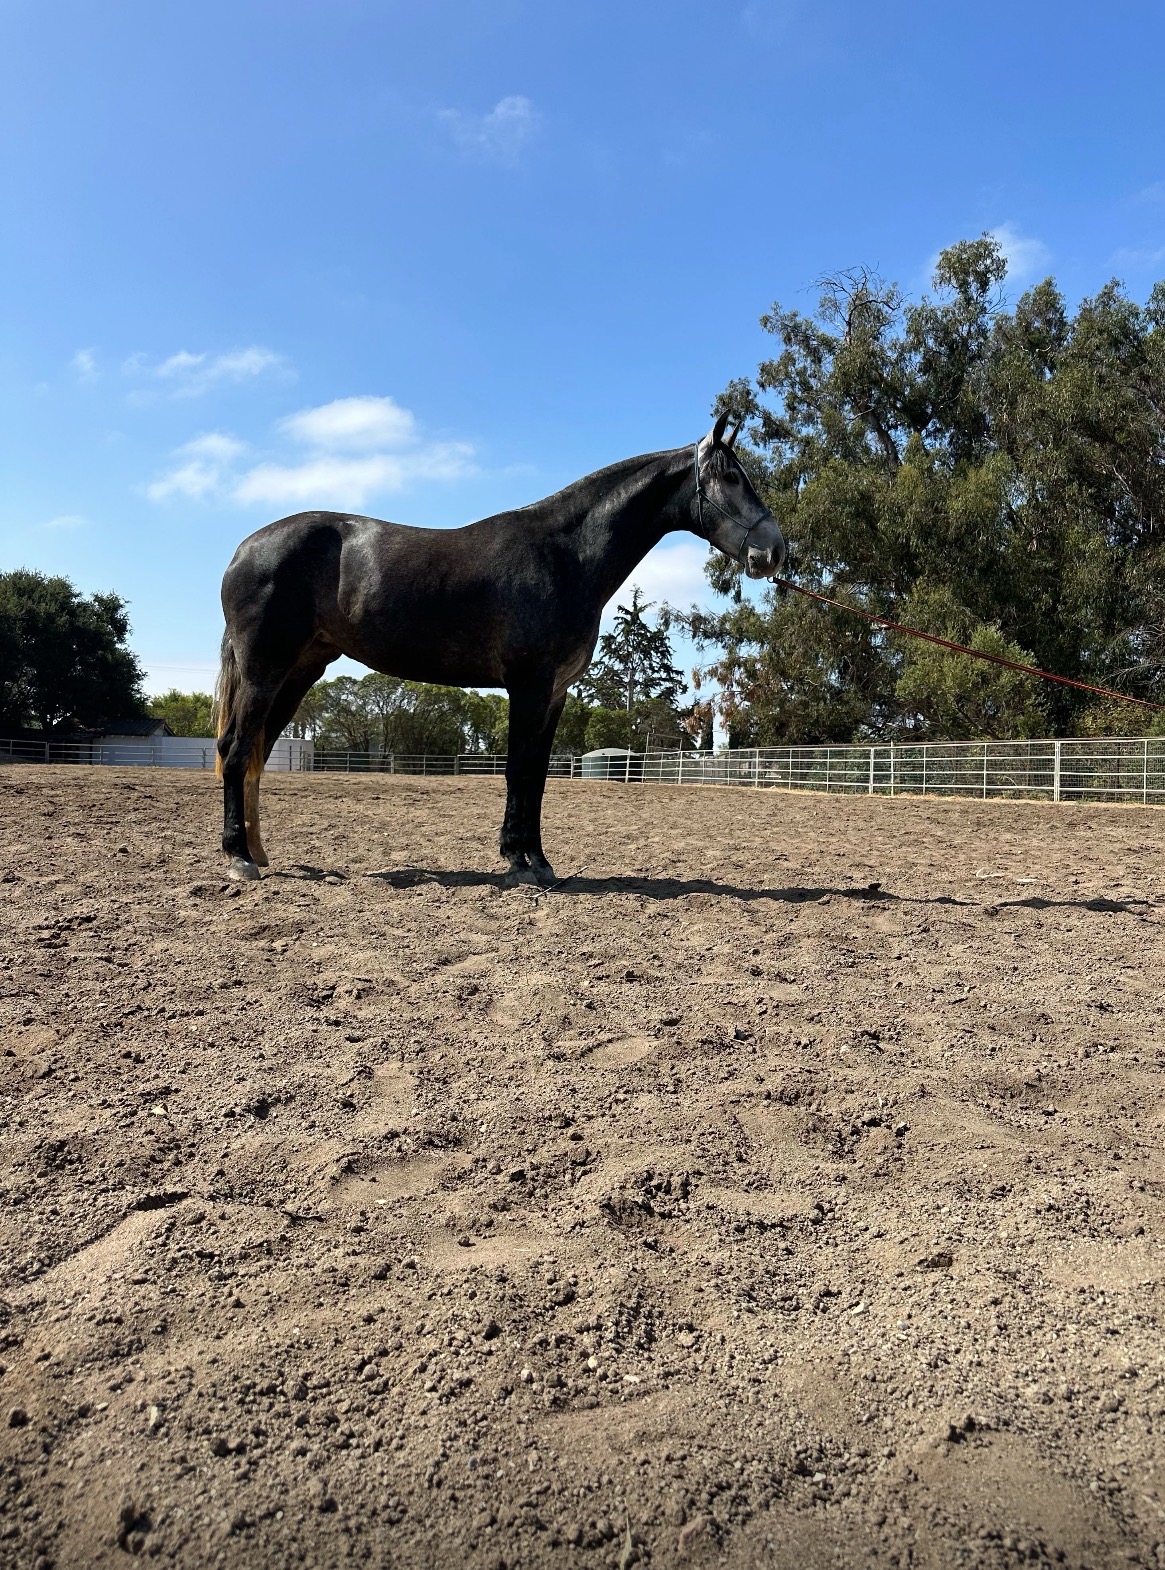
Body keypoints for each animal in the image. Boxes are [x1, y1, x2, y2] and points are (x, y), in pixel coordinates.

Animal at [214, 412, 785, 885]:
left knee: (254, 753)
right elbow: (517, 771)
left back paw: (259, 852)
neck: (565, 555)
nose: (774, 551)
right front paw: (517, 860)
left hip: (299, 671)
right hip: (266, 671)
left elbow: (537, 776)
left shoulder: (553, 693)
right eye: (732, 478)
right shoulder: (527, 685)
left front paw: (539, 860)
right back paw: (240, 858)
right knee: (237, 751)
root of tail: (243, 551)